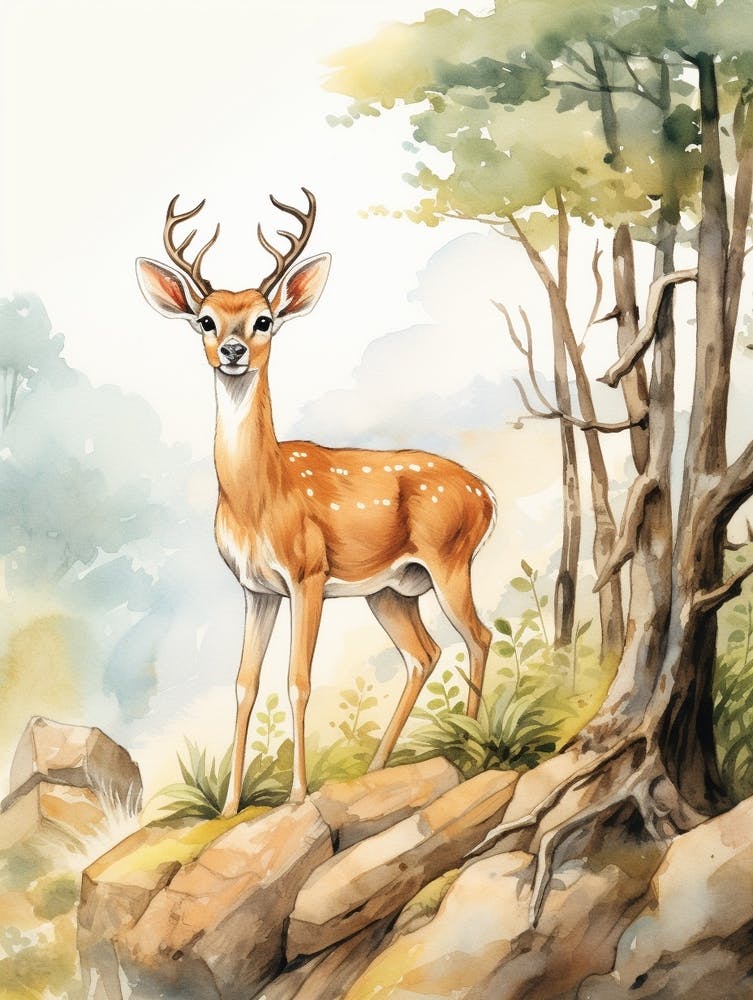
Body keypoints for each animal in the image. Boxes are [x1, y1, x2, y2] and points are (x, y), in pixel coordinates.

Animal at [136, 190, 495, 814]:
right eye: (206, 319)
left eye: (264, 319)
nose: (232, 350)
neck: (260, 497)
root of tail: (488, 495)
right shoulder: (255, 588)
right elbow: (244, 684)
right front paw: (230, 806)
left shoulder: (307, 573)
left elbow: (298, 680)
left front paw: (298, 794)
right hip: (390, 590)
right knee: (424, 653)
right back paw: (378, 765)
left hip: (450, 559)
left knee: (478, 636)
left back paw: (470, 748)